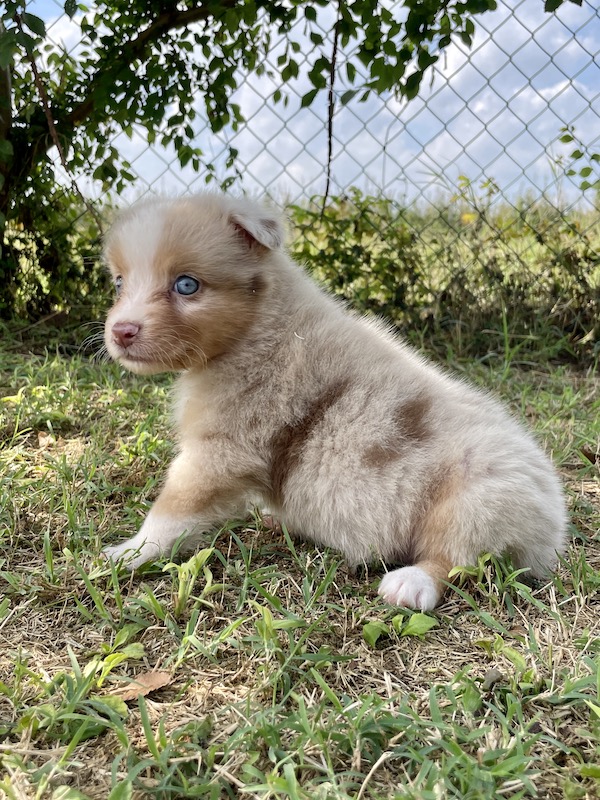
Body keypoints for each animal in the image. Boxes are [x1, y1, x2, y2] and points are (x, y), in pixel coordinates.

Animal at [103, 194, 568, 612]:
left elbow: (171, 510)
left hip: (477, 498)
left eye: (187, 285)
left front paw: (129, 553)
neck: (257, 327)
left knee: (457, 558)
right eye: (119, 283)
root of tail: (554, 526)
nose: (121, 332)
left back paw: (410, 584)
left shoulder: (219, 452)